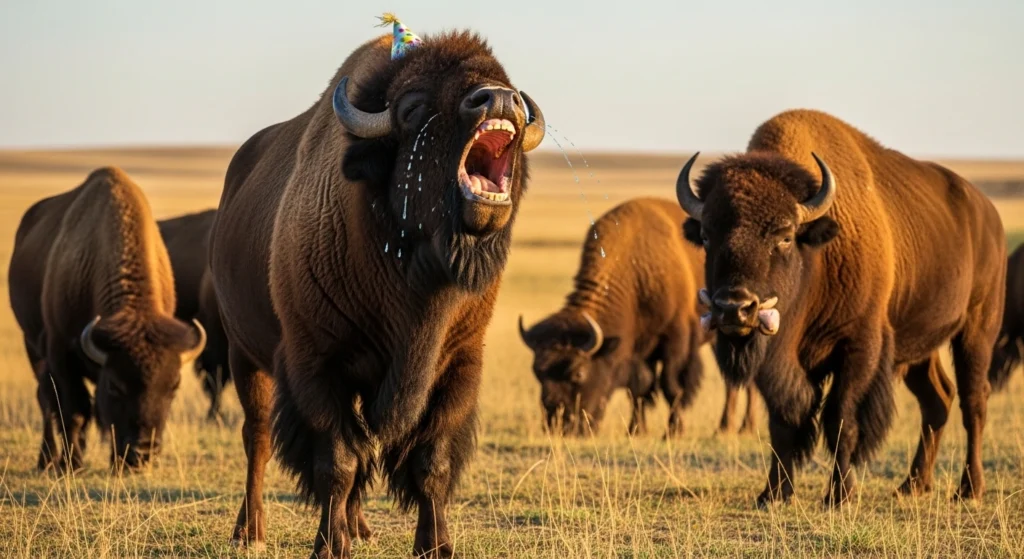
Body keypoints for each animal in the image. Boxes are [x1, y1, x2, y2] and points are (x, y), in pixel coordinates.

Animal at [8, 167, 207, 471]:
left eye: (174, 387)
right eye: (115, 385)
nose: (144, 452)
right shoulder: (60, 353)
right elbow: (74, 410)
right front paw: (71, 464)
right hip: (31, 344)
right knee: (46, 400)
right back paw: (46, 460)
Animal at [209, 31, 544, 557]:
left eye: (505, 83)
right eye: (412, 108)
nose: (498, 99)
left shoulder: (458, 366)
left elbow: (430, 463)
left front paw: (436, 546)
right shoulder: (315, 365)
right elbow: (337, 461)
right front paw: (330, 545)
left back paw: (360, 526)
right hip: (244, 356)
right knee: (257, 438)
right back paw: (251, 530)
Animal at [519, 198, 760, 437]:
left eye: (578, 373)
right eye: (537, 372)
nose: (557, 425)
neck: (636, 272)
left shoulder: (676, 341)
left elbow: (671, 387)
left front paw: (673, 431)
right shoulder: (639, 351)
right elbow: (639, 390)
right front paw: (636, 430)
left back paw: (737, 428)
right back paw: (731, 427)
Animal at [676, 109, 1006, 506]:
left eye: (785, 236)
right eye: (706, 235)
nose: (734, 308)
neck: (816, 259)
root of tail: (988, 214)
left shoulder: (859, 348)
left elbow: (841, 420)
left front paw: (839, 495)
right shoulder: (777, 365)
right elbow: (782, 424)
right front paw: (773, 493)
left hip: (977, 329)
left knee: (973, 402)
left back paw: (969, 489)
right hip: (917, 348)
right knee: (937, 400)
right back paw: (912, 486)